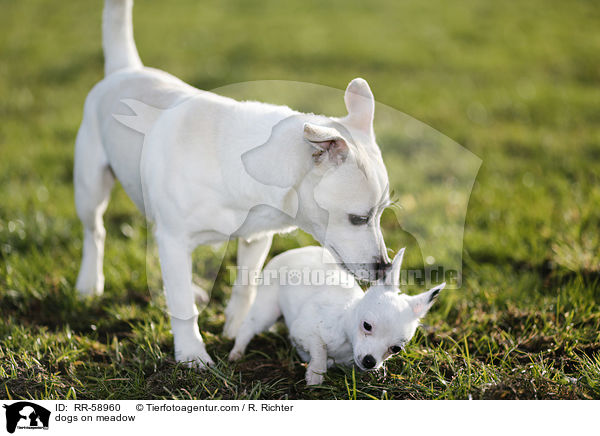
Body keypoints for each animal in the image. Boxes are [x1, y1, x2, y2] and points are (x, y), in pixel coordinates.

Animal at [74, 0, 394, 370]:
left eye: (381, 214)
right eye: (359, 218)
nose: (385, 267)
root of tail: (126, 68)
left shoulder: (256, 237)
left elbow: (244, 287)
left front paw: (235, 329)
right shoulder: (174, 239)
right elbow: (182, 305)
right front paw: (191, 354)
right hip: (90, 187)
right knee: (95, 232)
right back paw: (89, 284)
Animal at [230, 247, 446, 384]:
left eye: (396, 349)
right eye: (366, 326)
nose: (370, 361)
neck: (346, 343)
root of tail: (291, 252)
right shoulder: (301, 331)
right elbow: (320, 348)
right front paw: (316, 373)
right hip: (267, 309)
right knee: (248, 326)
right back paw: (237, 352)